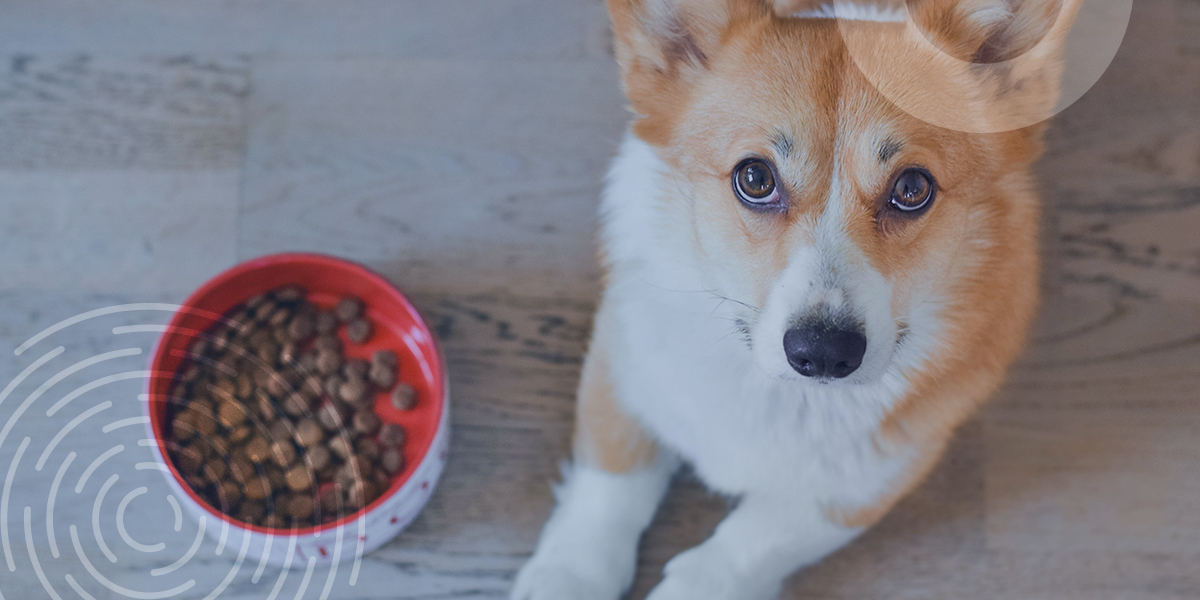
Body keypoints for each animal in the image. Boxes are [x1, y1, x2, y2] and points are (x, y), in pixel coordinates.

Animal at [516, 1, 1080, 600]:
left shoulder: (865, 482)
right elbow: (611, 482)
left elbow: (747, 544)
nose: (825, 353)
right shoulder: (621, 362)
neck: (781, 395)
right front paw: (567, 575)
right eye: (755, 177)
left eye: (912, 189)